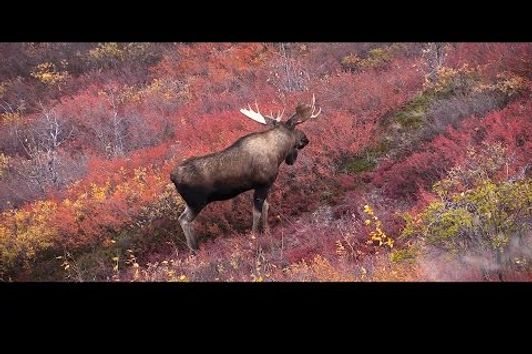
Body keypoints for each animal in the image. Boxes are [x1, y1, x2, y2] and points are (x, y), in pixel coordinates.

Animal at [170, 94, 320, 249]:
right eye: (296, 128)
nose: (305, 139)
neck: (279, 153)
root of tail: (172, 177)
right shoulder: (262, 184)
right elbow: (256, 213)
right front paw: (254, 236)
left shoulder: (265, 186)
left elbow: (266, 207)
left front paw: (267, 232)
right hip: (196, 202)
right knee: (184, 220)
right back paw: (193, 248)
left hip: (190, 203)